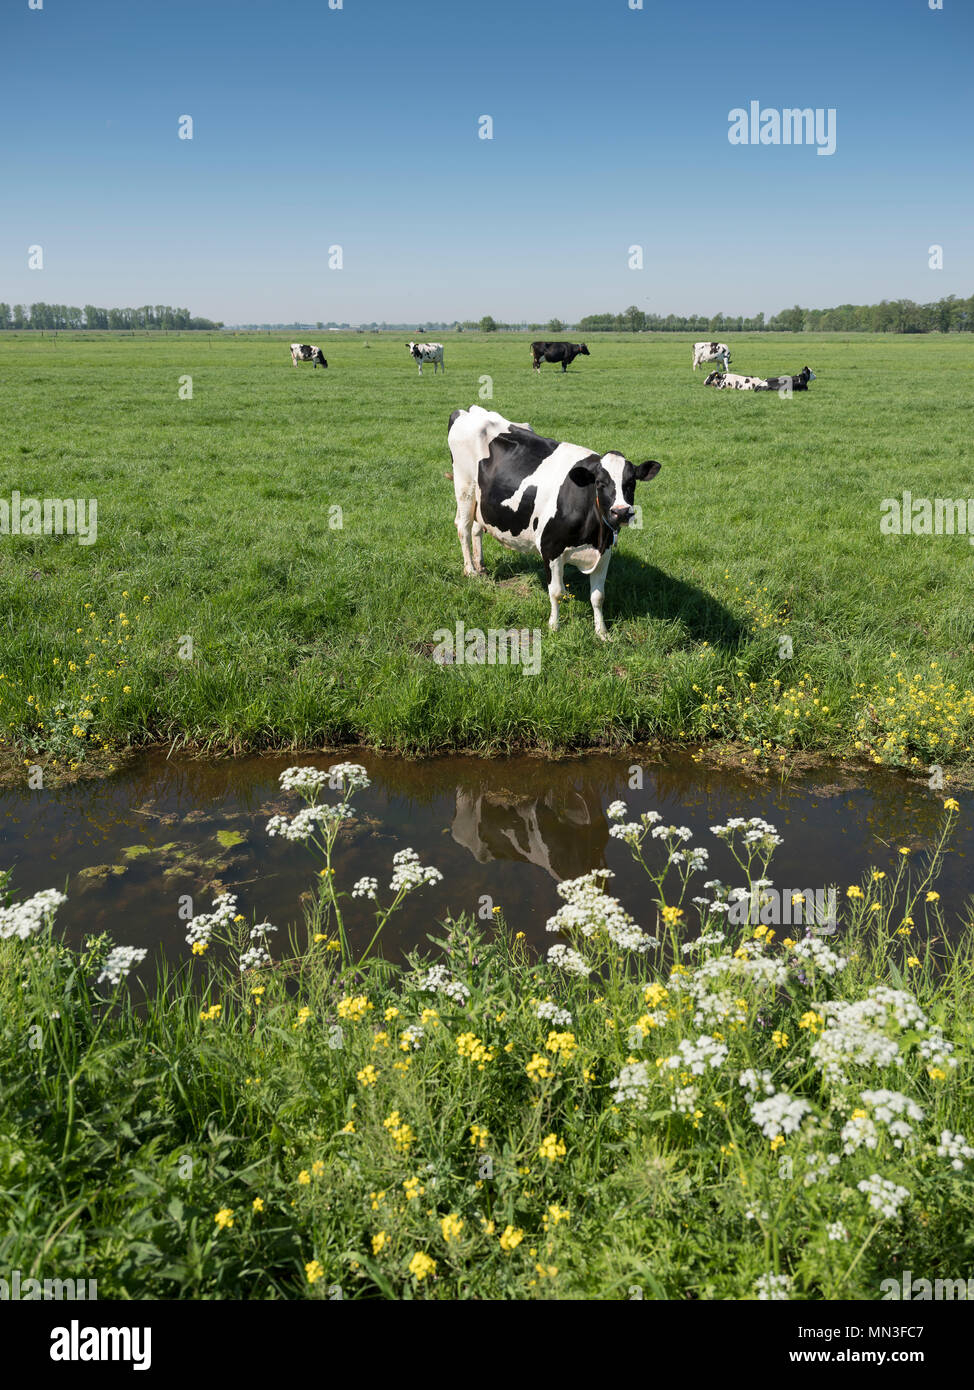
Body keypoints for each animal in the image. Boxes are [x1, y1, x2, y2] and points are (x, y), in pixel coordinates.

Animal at [448, 405, 661, 640]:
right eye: (599, 483)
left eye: (631, 483)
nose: (621, 512)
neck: (595, 534)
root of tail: (471, 410)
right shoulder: (550, 548)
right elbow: (555, 592)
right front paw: (554, 626)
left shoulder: (604, 552)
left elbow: (598, 596)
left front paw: (602, 633)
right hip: (464, 487)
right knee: (464, 528)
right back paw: (471, 571)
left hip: (482, 501)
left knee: (478, 528)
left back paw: (481, 565)